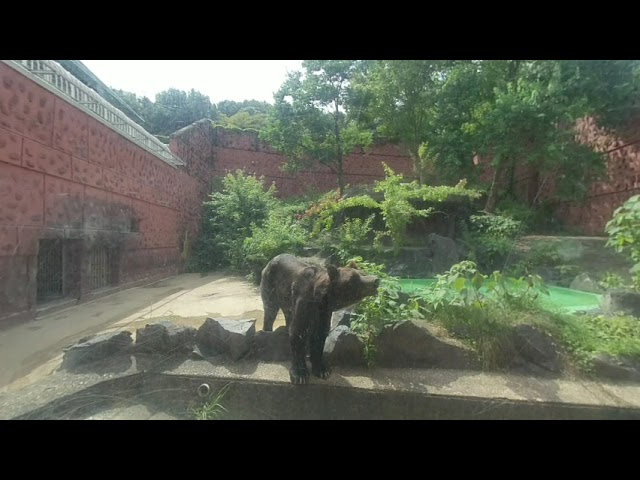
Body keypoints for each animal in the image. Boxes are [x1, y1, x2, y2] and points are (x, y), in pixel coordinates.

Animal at [262, 253, 380, 384]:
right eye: (354, 278)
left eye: (363, 272)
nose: (375, 280)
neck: (322, 300)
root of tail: (274, 258)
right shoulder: (304, 301)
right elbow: (298, 332)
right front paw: (299, 374)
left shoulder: (323, 313)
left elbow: (319, 335)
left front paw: (322, 370)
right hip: (271, 285)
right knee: (270, 310)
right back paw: (267, 332)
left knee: (287, 315)